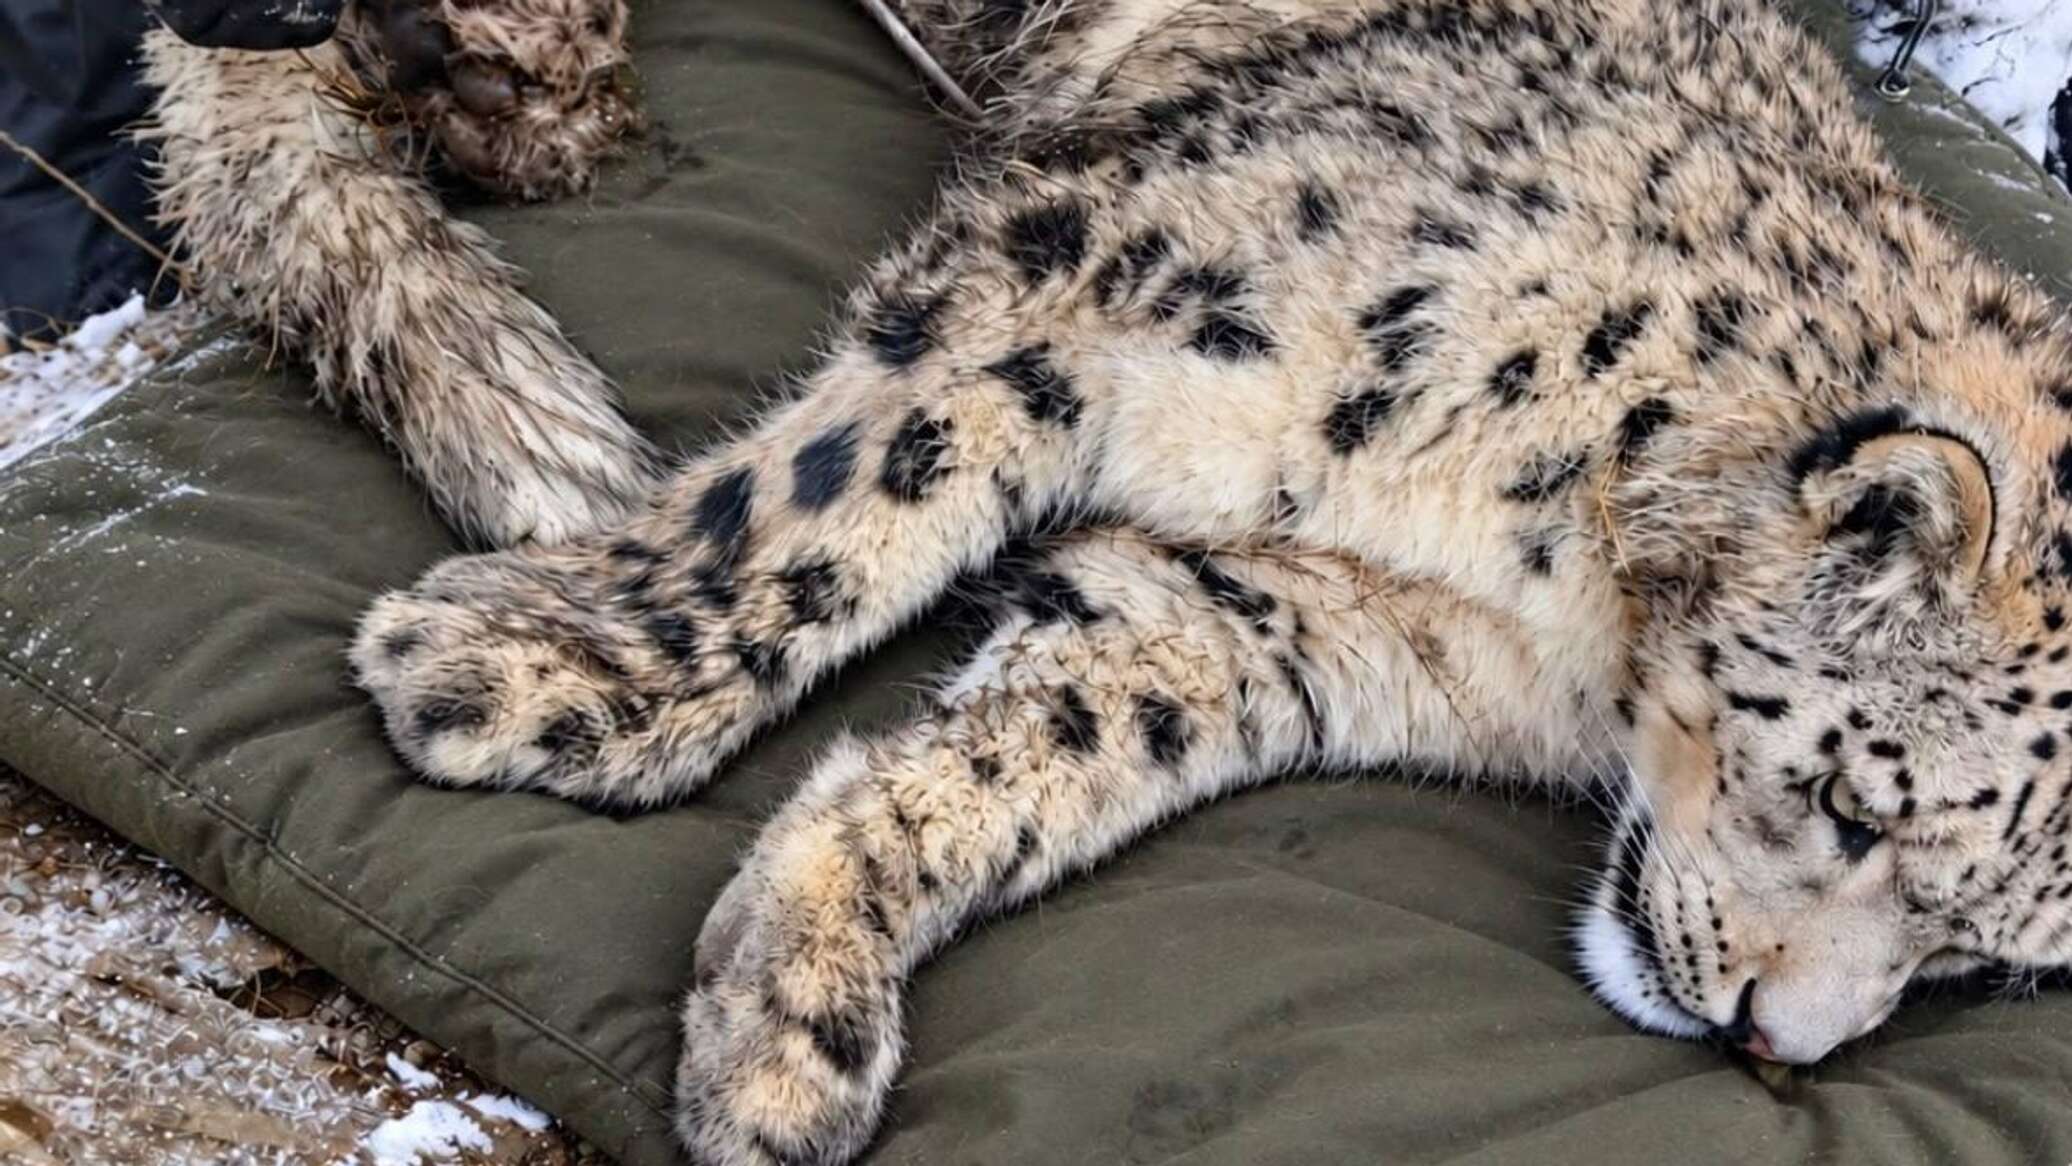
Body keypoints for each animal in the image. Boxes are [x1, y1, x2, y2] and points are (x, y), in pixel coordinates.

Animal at [331, 0, 2072, 1161]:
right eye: (1853, 803)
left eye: (1977, 959)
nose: (1770, 1037)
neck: (1563, 597)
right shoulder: (1107, 263)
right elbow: (840, 487)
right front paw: (544, 666)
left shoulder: (1274, 616)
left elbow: (1028, 759)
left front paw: (793, 1018)